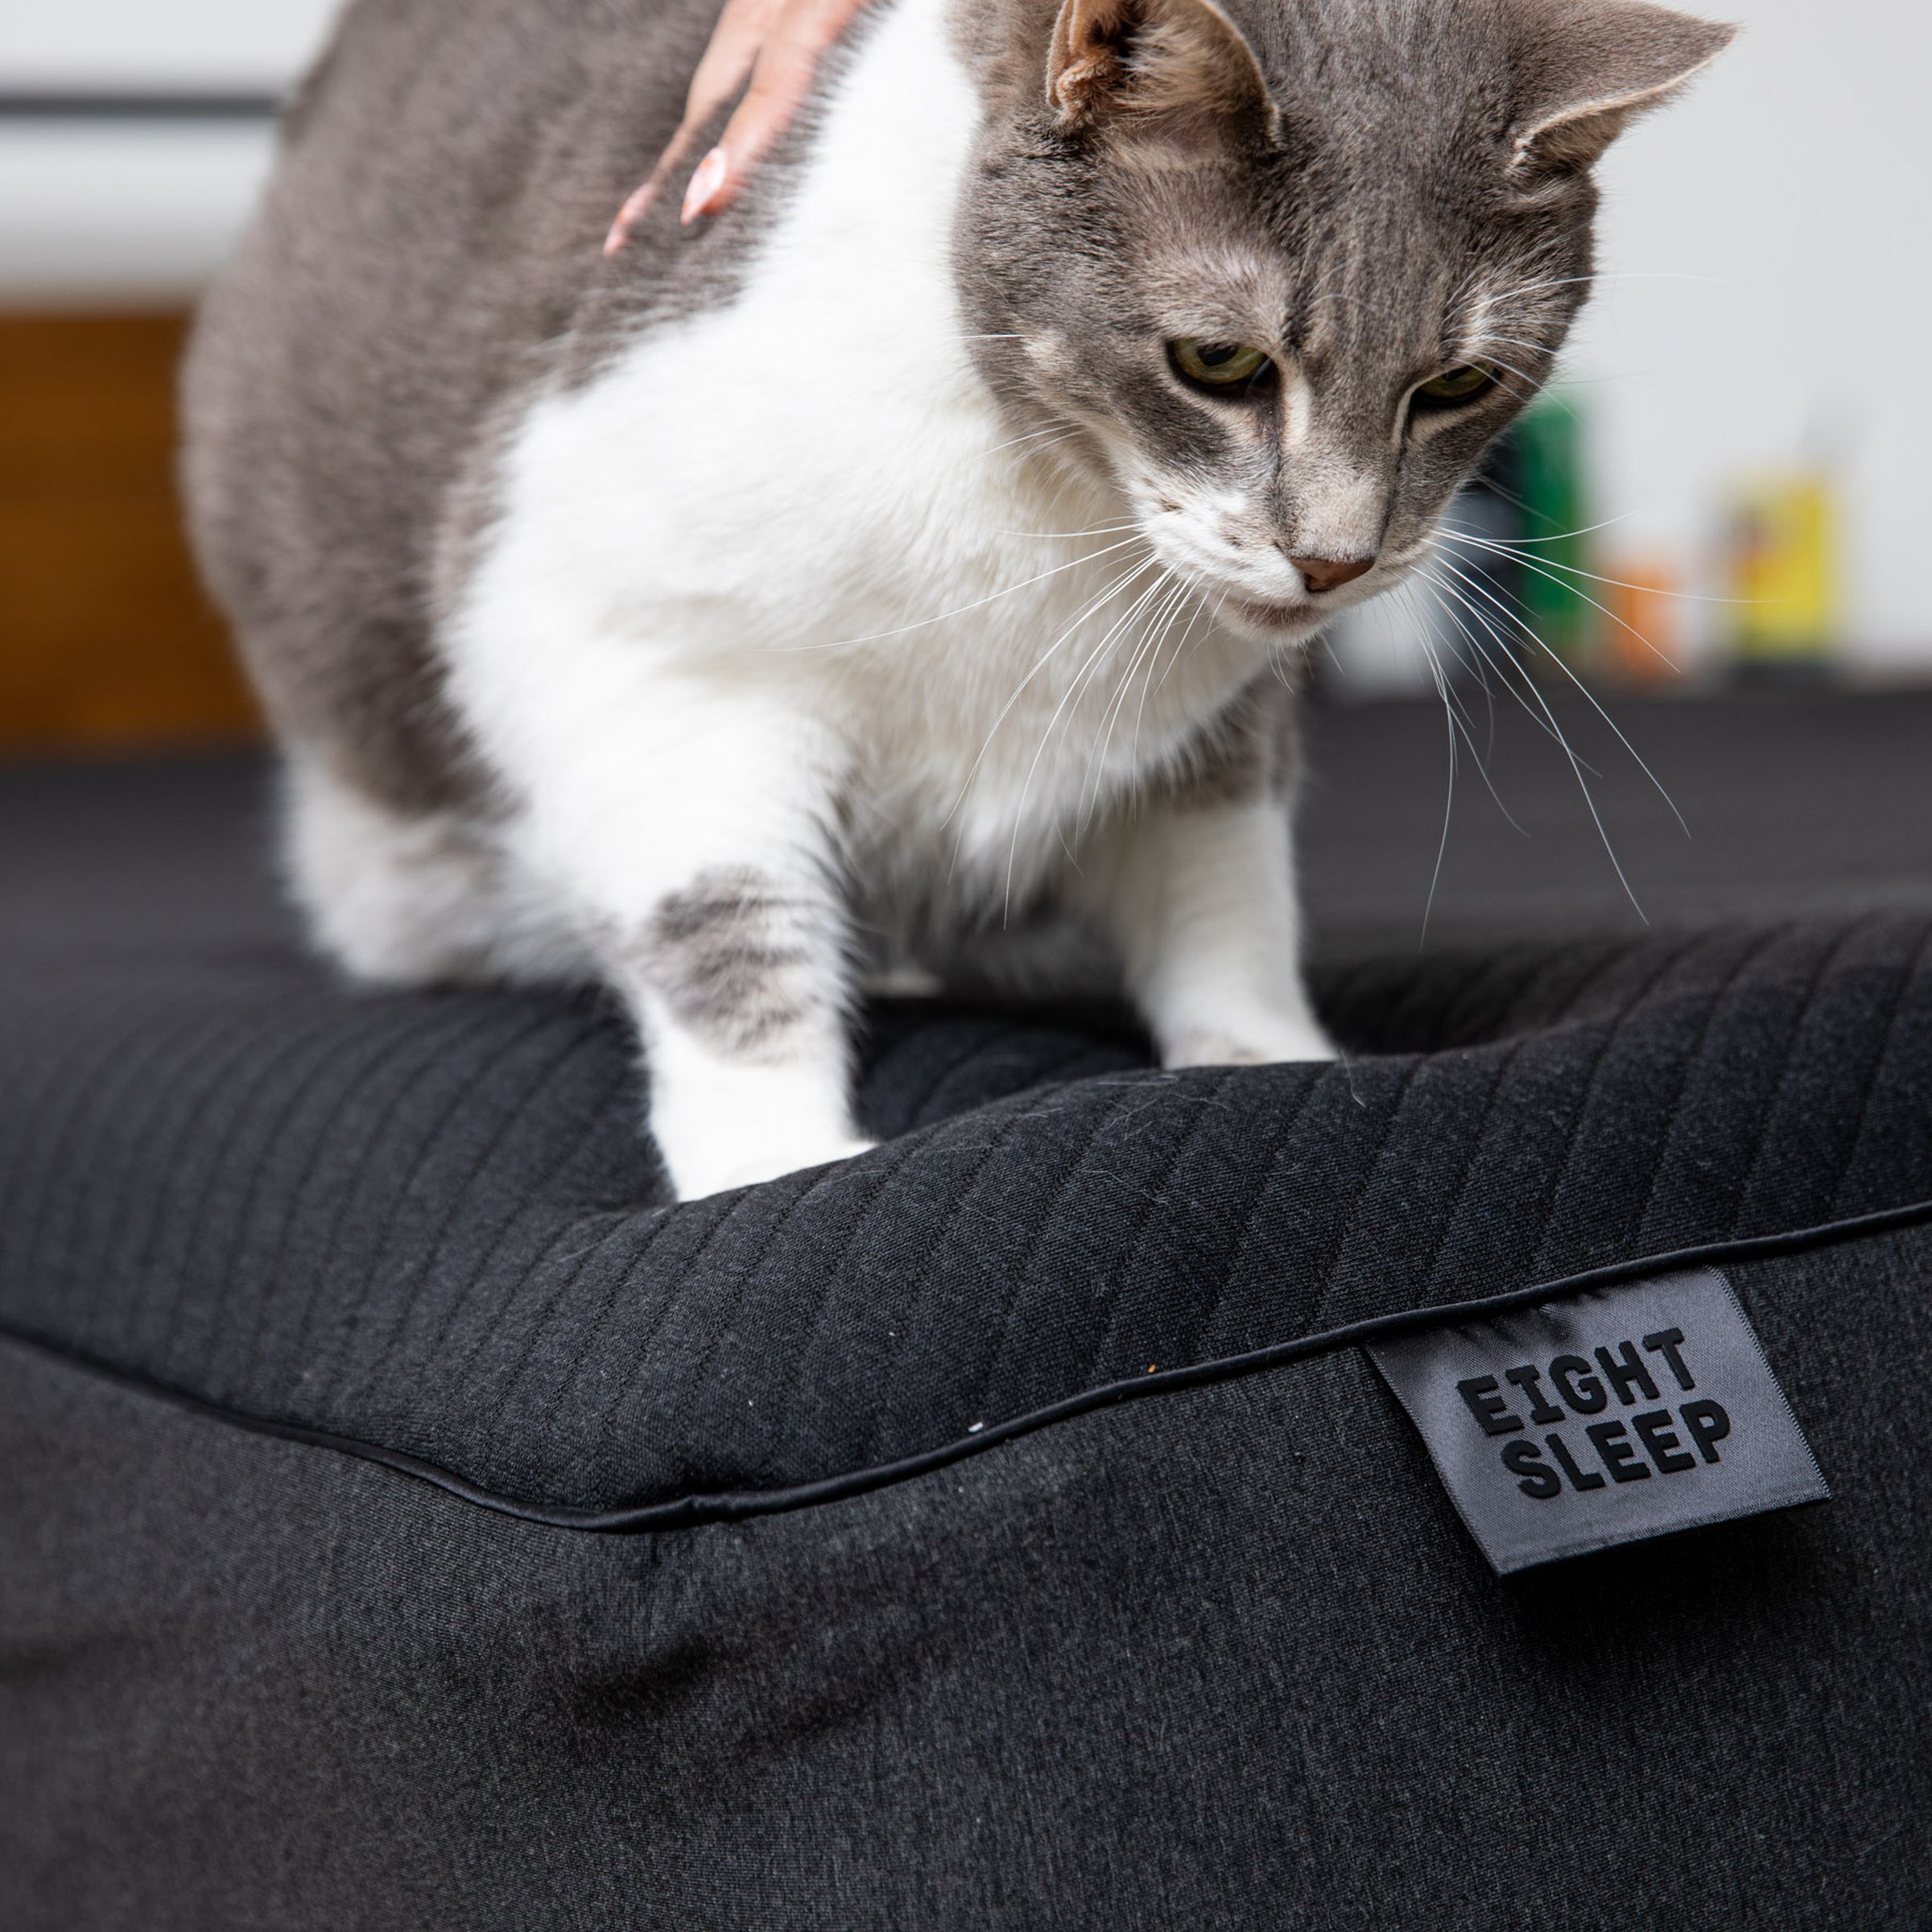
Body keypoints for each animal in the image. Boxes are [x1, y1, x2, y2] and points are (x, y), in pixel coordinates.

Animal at [184, 0, 1739, 1198]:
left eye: (1459, 385)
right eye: (1219, 363)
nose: (1337, 560)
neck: (1059, 509)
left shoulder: (1210, 727)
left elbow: (1222, 889)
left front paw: (1262, 1058)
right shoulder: (623, 644)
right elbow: (726, 923)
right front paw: (776, 1163)